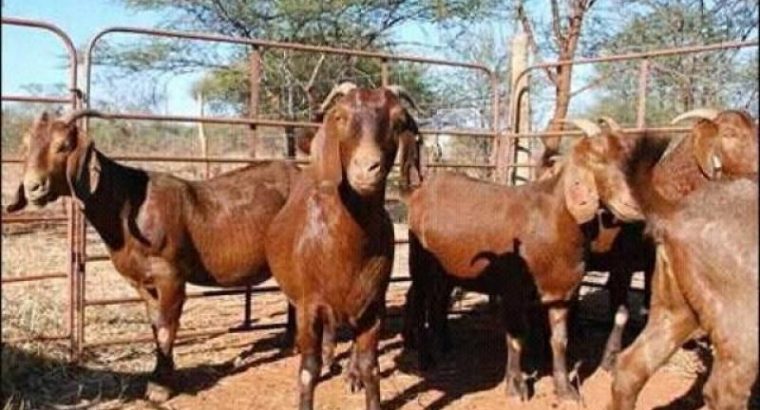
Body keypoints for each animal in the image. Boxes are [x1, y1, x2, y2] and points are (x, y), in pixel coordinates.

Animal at [5, 110, 300, 402]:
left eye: (63, 145)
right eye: (26, 145)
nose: (34, 187)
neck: (127, 208)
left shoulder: (170, 276)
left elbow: (167, 327)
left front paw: (161, 387)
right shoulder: (141, 281)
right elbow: (155, 326)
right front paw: (159, 376)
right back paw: (290, 344)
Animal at [264, 83, 422, 410]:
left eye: (399, 121)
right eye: (340, 116)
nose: (366, 167)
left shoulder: (373, 304)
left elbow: (371, 367)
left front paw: (360, 380)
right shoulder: (309, 305)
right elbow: (308, 371)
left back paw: (349, 372)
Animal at [404, 119, 644, 402]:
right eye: (599, 161)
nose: (634, 204)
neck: (552, 221)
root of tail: (419, 191)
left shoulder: (562, 293)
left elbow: (560, 341)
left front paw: (565, 390)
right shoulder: (514, 291)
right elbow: (517, 337)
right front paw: (516, 386)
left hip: (447, 271)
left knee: (437, 300)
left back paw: (444, 345)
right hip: (420, 263)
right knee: (418, 302)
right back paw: (425, 358)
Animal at [605, 109, 759, 409]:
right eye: (730, 133)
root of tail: (675, 213)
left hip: (674, 309)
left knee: (631, 367)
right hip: (743, 328)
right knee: (724, 391)